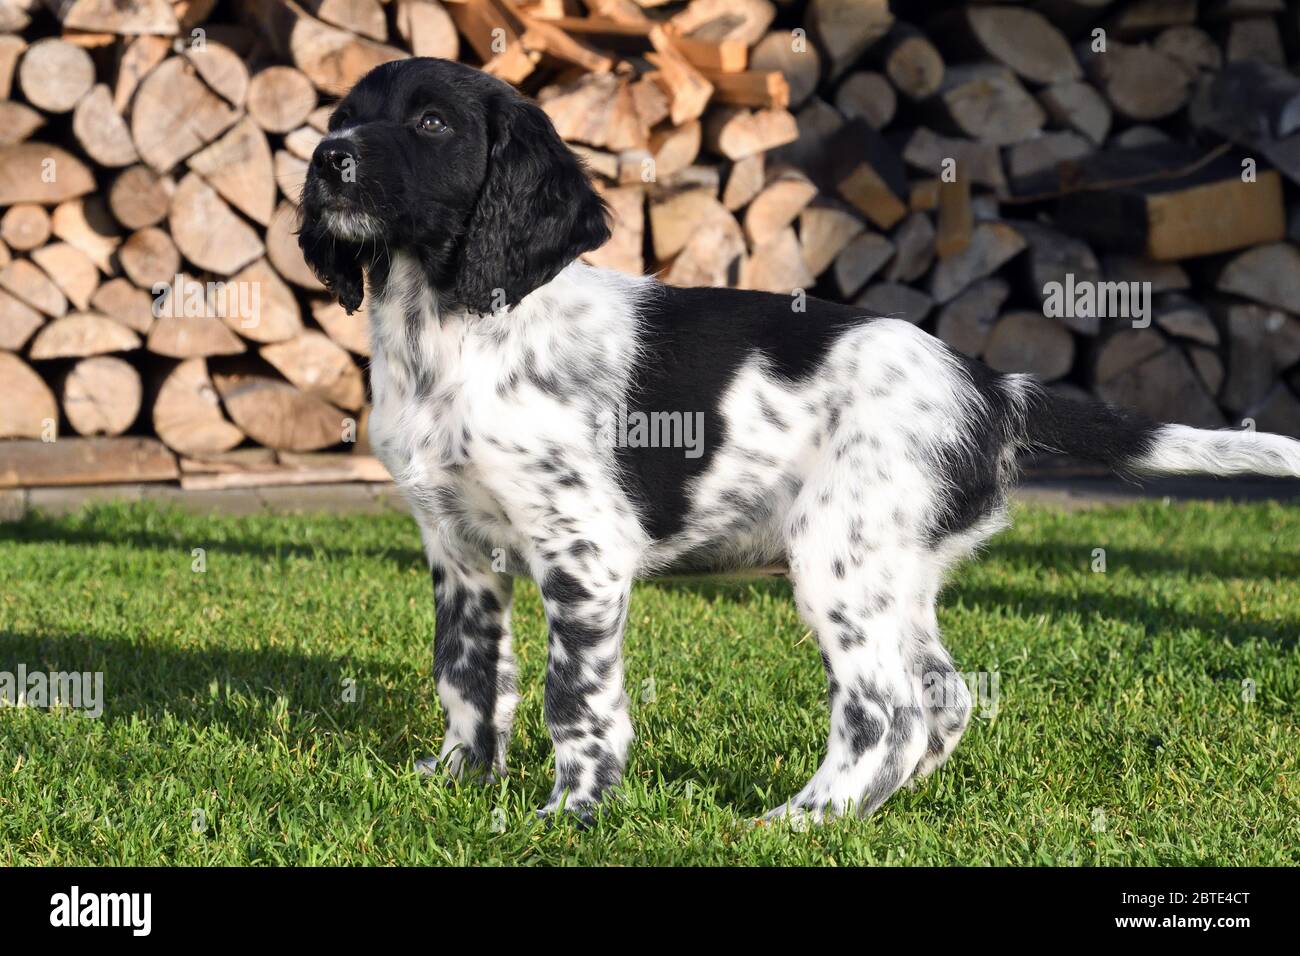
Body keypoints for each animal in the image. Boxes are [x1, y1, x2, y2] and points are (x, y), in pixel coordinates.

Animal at [299, 57, 1300, 822]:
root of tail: (989, 384)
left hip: (836, 562)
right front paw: (455, 785)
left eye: (431, 122)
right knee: (943, 698)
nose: (326, 157)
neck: (450, 328)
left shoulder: (581, 553)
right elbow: (466, 674)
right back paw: (874, 811)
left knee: (887, 711)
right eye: (343, 116)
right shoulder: (458, 549)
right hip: (894, 570)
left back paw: (802, 821)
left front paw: (568, 814)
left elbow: (575, 701)